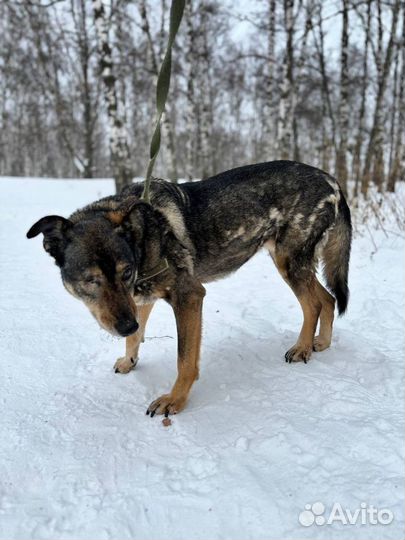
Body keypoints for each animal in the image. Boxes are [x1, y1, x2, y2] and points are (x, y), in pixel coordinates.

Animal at [27, 162, 350, 416]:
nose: (126, 325)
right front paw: (130, 360)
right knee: (328, 299)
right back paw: (320, 343)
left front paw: (175, 400)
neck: (142, 239)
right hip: (292, 263)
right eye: (91, 280)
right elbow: (136, 337)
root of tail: (332, 180)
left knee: (314, 303)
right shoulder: (140, 299)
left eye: (126, 272)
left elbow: (185, 360)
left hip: (288, 261)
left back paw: (302, 348)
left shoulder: (188, 296)